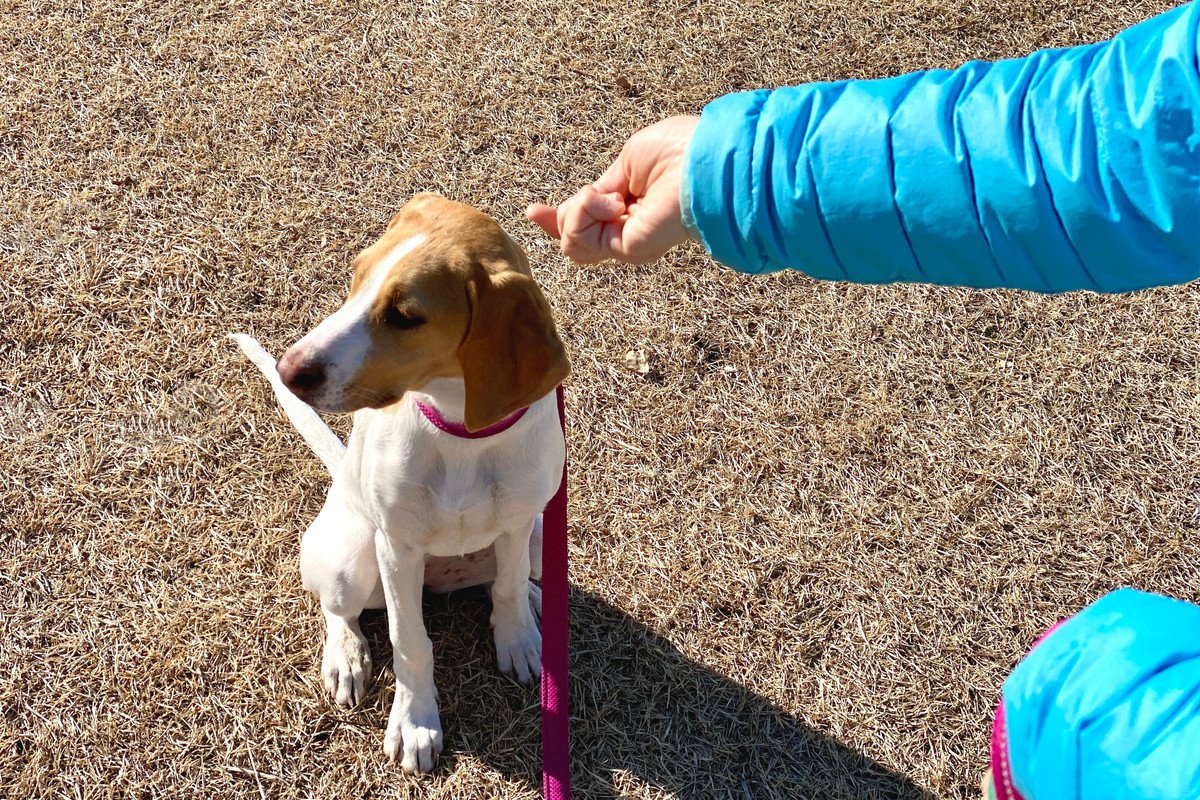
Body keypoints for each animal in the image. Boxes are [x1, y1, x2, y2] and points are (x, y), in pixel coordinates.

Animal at [235, 190, 571, 772]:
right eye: (355, 275)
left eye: (405, 316)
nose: (288, 370)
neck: (459, 430)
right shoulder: (398, 546)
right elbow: (409, 640)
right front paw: (415, 723)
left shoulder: (517, 523)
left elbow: (504, 589)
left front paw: (519, 640)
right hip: (351, 557)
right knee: (337, 609)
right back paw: (346, 657)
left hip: (538, 538)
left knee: (507, 580)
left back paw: (531, 606)